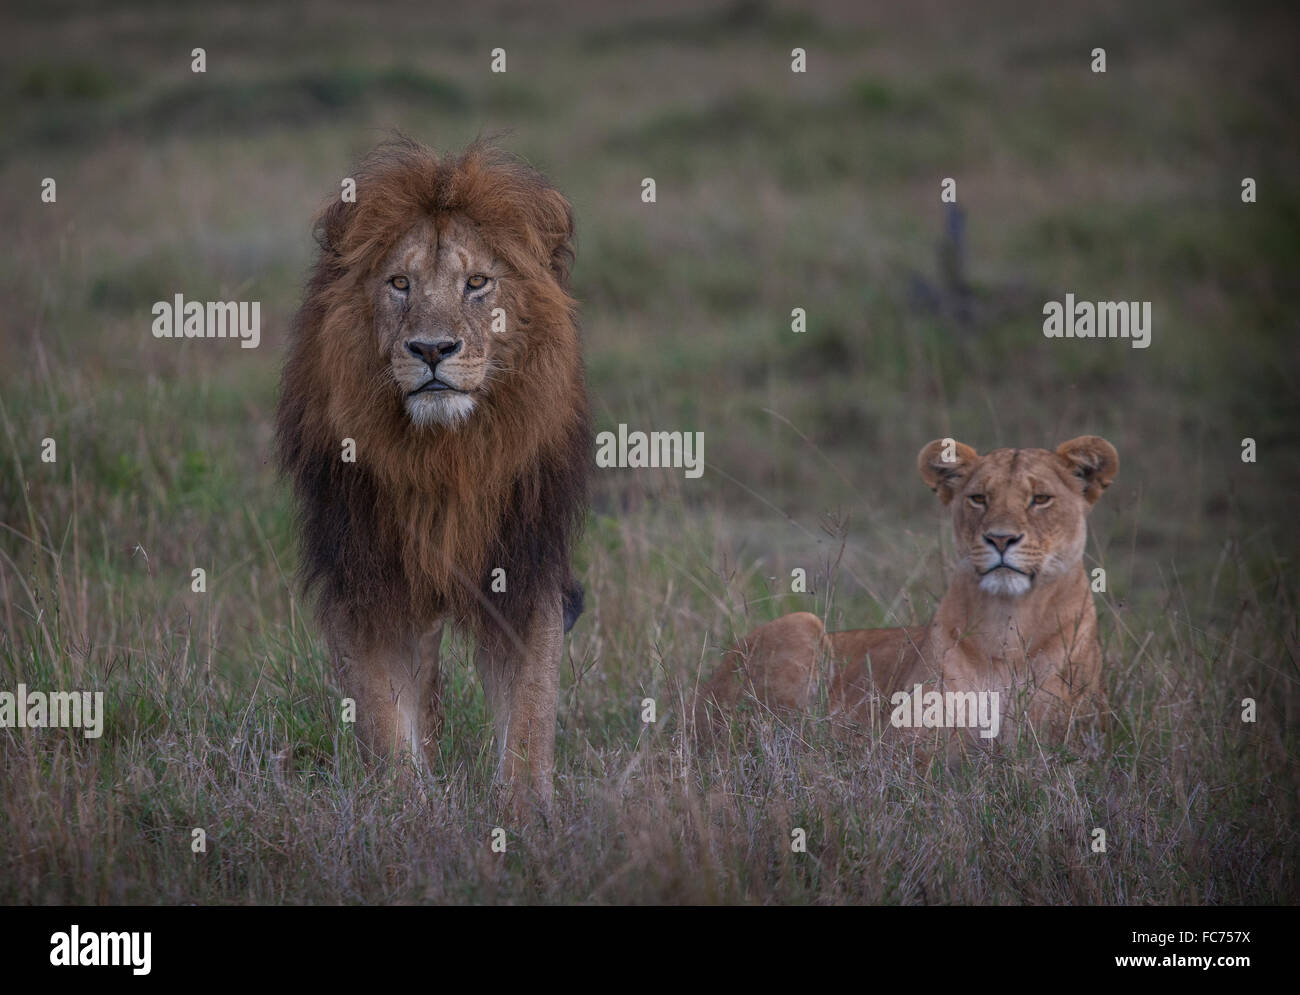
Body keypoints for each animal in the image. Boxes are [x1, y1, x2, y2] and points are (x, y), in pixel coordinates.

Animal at [279, 139, 595, 811]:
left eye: (476, 283)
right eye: (400, 283)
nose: (430, 350)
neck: (445, 455)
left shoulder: (525, 567)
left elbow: (530, 711)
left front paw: (526, 815)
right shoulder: (367, 576)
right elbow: (383, 714)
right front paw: (405, 813)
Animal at [702, 437, 1118, 743]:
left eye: (1041, 499)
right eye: (979, 498)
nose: (1000, 539)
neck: (1009, 624)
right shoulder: (907, 743)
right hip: (801, 624)